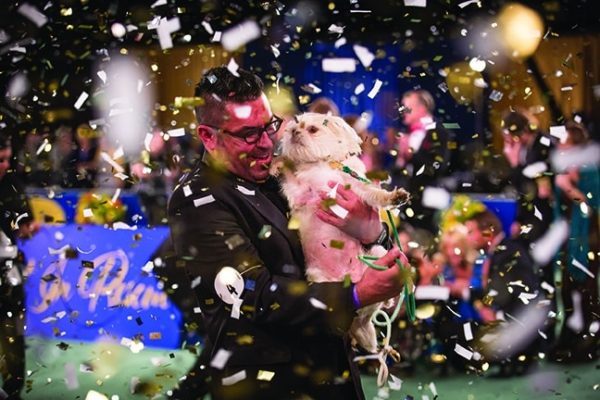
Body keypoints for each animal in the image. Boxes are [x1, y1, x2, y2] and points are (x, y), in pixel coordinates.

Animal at [276, 112, 408, 354]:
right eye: (292, 128)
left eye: (312, 129)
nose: (293, 132)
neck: (323, 165)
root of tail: (351, 279)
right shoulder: (301, 193)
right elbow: (291, 178)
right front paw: (279, 163)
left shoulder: (355, 187)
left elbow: (373, 193)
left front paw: (393, 197)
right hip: (321, 280)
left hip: (377, 252)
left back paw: (387, 302)